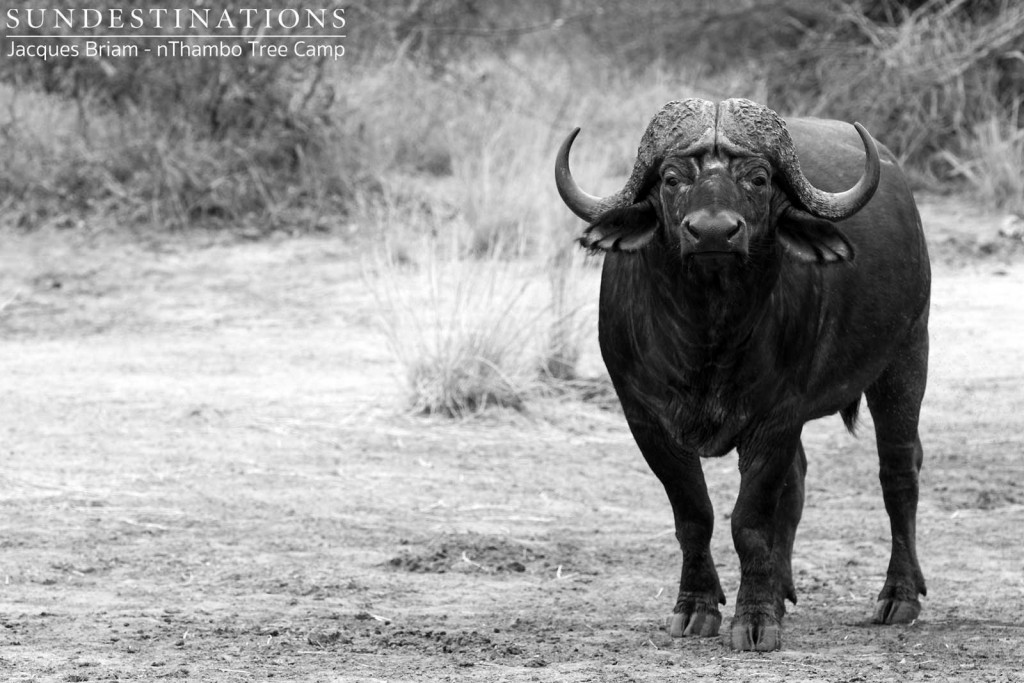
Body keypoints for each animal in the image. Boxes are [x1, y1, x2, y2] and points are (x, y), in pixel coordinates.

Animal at [557, 100, 933, 651]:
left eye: (758, 179)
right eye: (671, 178)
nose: (713, 232)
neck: (708, 335)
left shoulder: (776, 416)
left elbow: (750, 519)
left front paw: (755, 618)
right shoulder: (644, 417)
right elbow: (695, 513)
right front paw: (697, 607)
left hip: (906, 358)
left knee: (899, 474)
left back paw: (899, 595)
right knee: (797, 482)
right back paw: (782, 587)